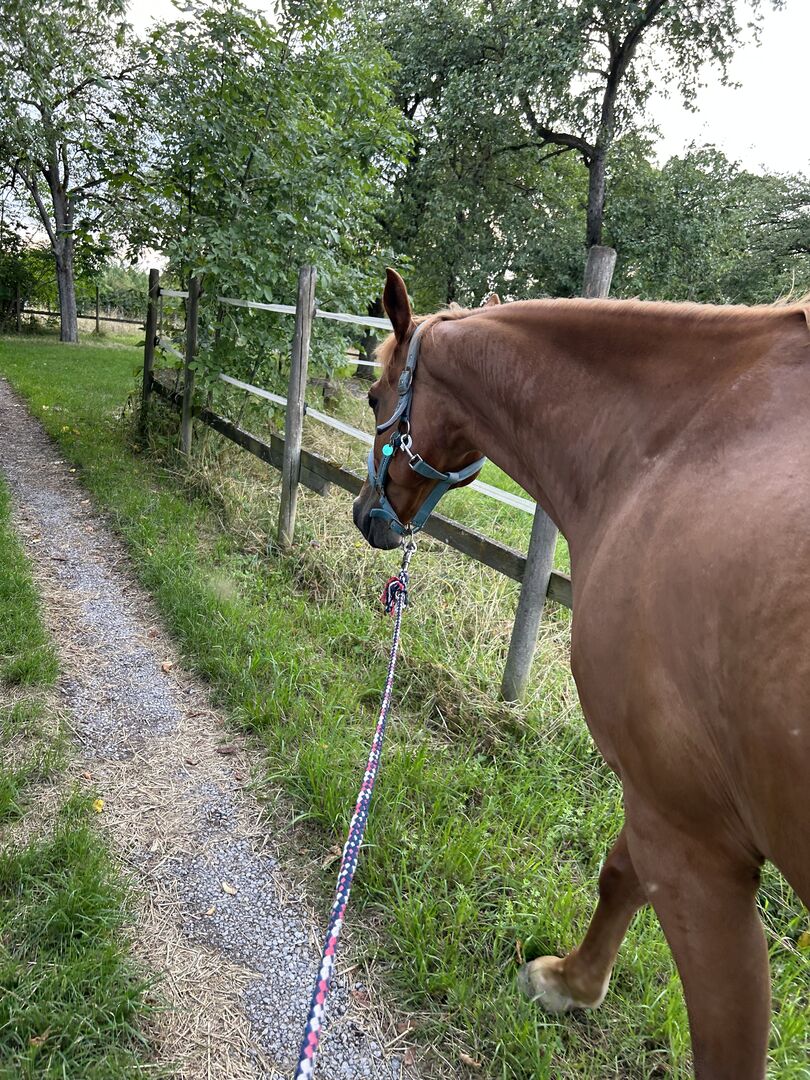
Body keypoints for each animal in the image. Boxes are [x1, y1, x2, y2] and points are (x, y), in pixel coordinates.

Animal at [352, 269, 810, 1079]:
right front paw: (572, 984)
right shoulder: (662, 801)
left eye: (377, 399)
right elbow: (619, 872)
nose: (363, 512)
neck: (663, 451)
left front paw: (566, 983)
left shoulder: (692, 841)